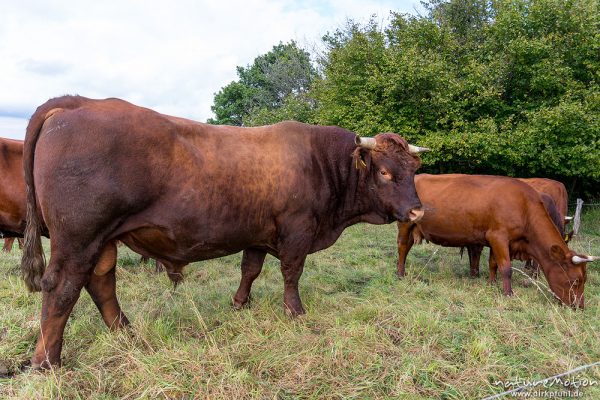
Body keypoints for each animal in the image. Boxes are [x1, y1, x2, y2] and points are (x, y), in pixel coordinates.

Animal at [22, 95, 426, 370]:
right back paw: (48, 361)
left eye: (413, 169)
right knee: (62, 289)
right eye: (385, 172)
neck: (320, 161)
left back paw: (125, 333)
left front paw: (240, 304)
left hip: (103, 240)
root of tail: (78, 102)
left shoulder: (258, 234)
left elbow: (251, 269)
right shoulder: (297, 229)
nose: (417, 210)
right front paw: (295, 312)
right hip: (78, 239)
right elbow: (291, 273)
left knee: (101, 281)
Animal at [396, 173, 596, 308]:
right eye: (575, 280)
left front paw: (491, 284)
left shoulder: (494, 239)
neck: (524, 206)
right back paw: (400, 274)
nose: (579, 306)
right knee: (402, 247)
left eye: (584, 280)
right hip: (405, 224)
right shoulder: (499, 236)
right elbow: (506, 268)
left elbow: (493, 263)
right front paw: (508, 293)